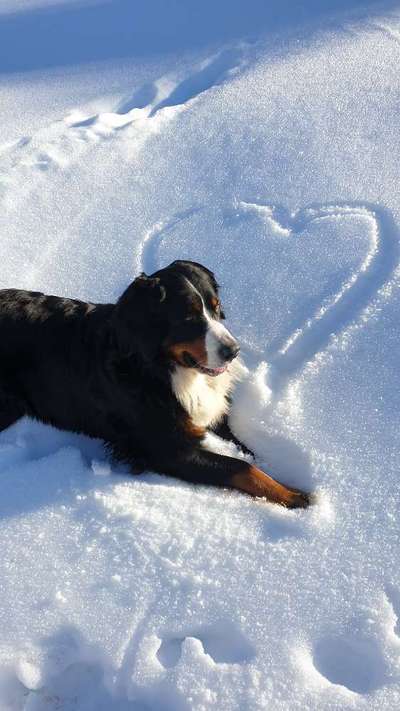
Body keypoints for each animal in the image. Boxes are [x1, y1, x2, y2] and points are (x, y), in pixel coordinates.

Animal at [0, 258, 310, 508]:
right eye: (188, 317)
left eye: (216, 307)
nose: (233, 351)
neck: (162, 370)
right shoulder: (168, 449)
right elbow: (240, 467)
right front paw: (293, 496)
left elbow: (246, 451)